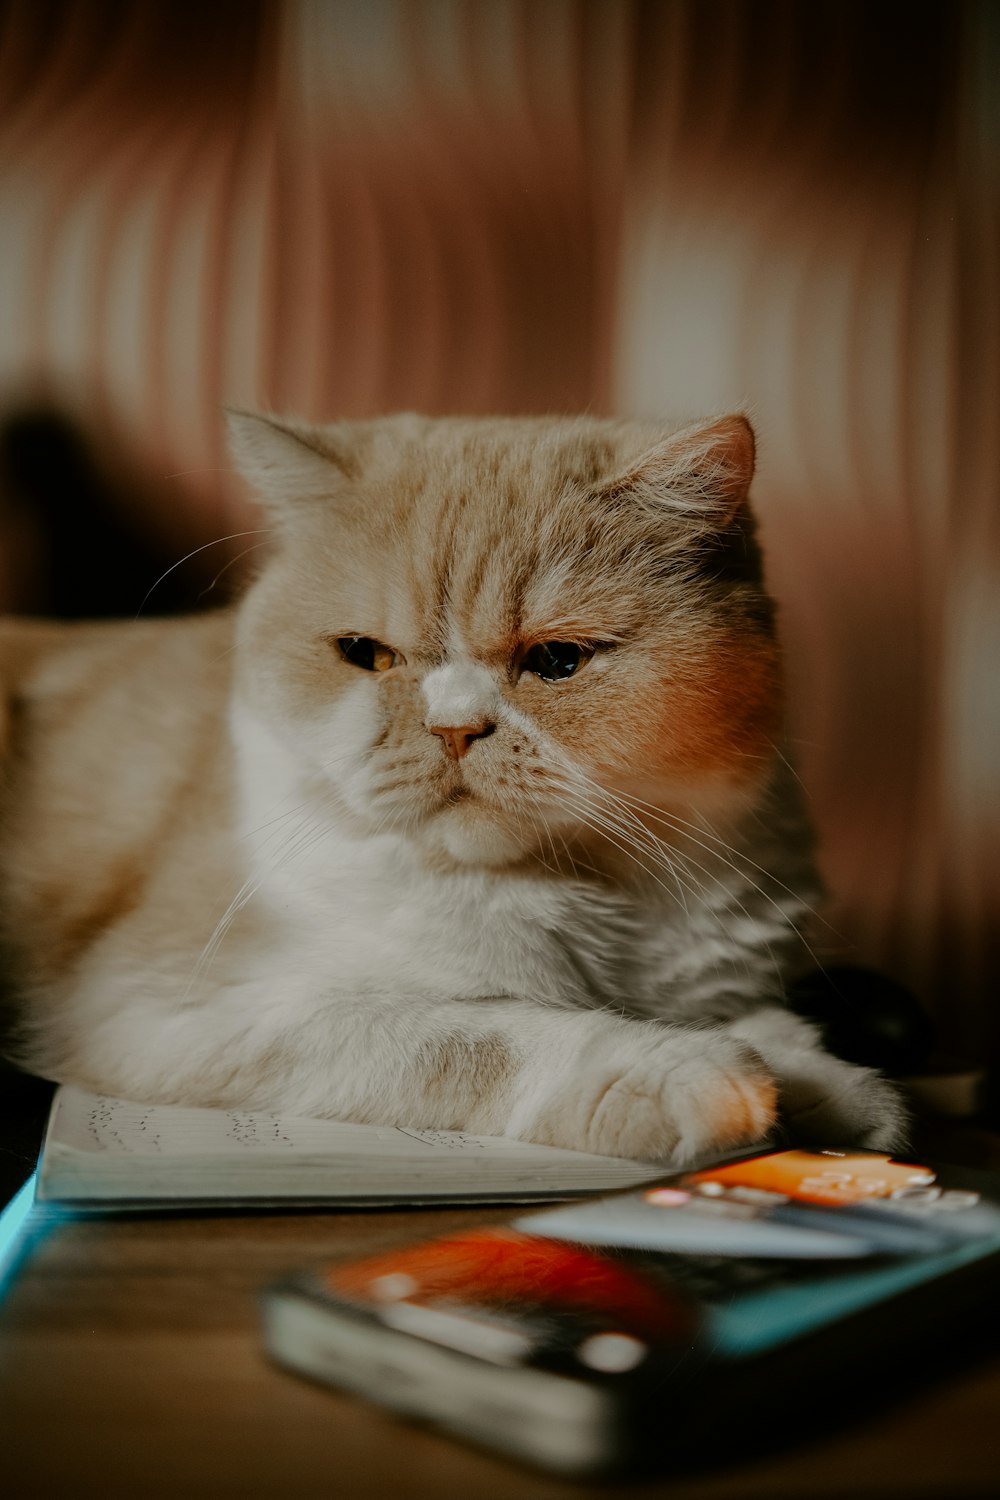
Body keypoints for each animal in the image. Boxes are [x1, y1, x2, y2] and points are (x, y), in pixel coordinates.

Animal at [0, 417, 905, 1164]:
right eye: (366, 654)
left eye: (557, 660)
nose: (455, 727)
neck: (589, 894)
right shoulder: (190, 1011)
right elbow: (484, 1031)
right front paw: (697, 1079)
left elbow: (771, 1027)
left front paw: (833, 1089)